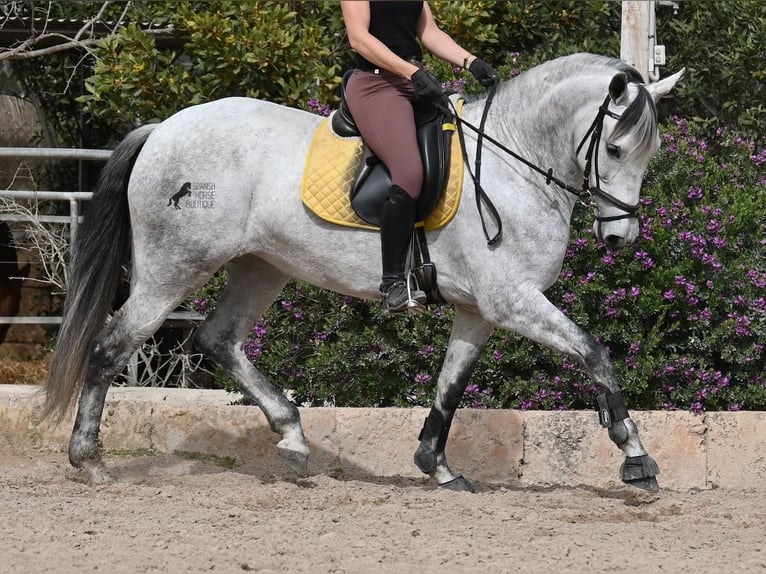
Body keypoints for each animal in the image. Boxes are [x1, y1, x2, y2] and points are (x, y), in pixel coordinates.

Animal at [45, 54, 688, 492]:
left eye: (649, 152)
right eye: (615, 150)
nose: (620, 238)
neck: (514, 162)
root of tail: (163, 129)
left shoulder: (479, 309)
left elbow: (450, 385)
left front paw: (437, 467)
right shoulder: (512, 299)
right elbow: (594, 352)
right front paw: (637, 458)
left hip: (261, 268)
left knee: (217, 339)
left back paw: (293, 438)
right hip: (174, 269)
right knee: (111, 346)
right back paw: (89, 460)